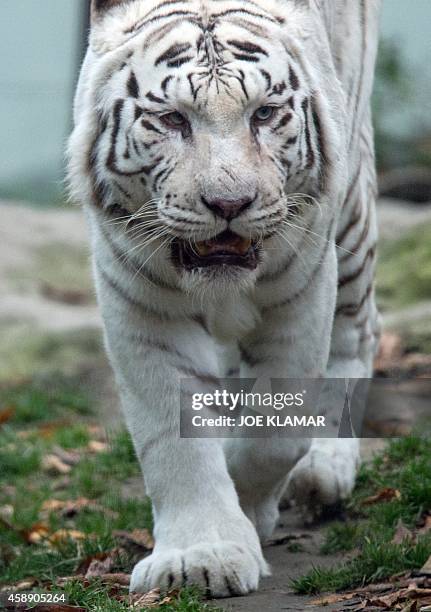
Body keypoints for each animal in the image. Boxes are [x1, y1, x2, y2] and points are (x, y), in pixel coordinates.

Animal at [67, 0, 382, 596]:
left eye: (264, 114)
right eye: (173, 119)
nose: (230, 203)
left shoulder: (302, 292)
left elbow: (273, 433)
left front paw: (249, 508)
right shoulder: (142, 306)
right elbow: (177, 441)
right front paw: (202, 556)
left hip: (351, 216)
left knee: (357, 334)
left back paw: (324, 468)